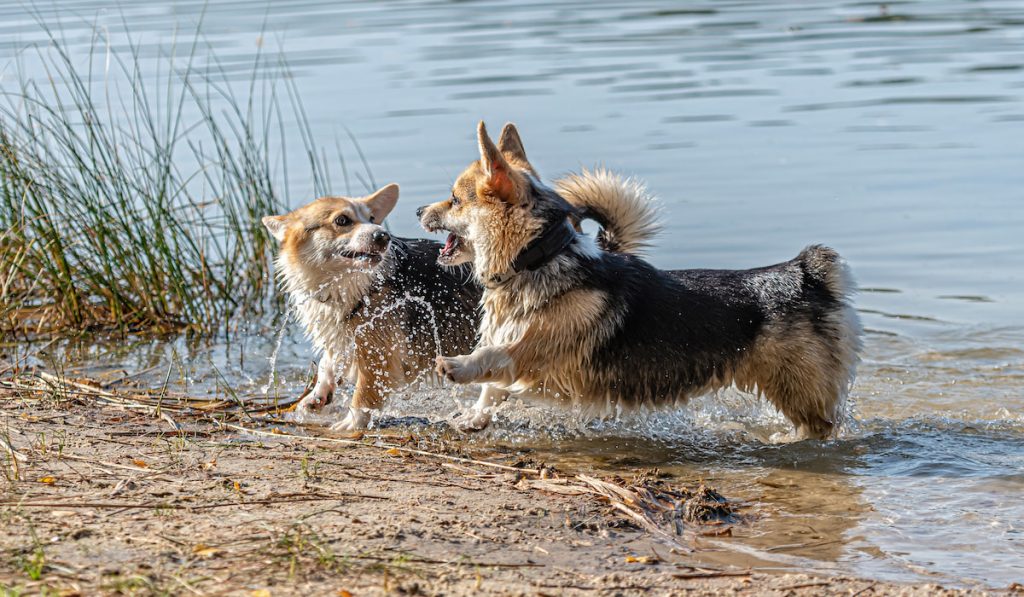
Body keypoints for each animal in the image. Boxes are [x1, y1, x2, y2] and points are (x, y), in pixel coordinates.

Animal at [264, 184, 479, 432]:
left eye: (372, 218)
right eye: (342, 220)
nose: (383, 235)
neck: (350, 284)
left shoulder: (378, 350)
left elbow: (364, 394)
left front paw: (350, 423)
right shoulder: (343, 336)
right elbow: (327, 362)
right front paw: (317, 396)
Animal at [419, 122, 860, 438]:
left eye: (454, 200)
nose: (419, 209)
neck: (538, 259)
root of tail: (805, 271)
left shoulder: (535, 349)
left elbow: (493, 358)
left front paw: (456, 366)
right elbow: (490, 390)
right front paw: (471, 418)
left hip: (796, 387)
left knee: (820, 427)